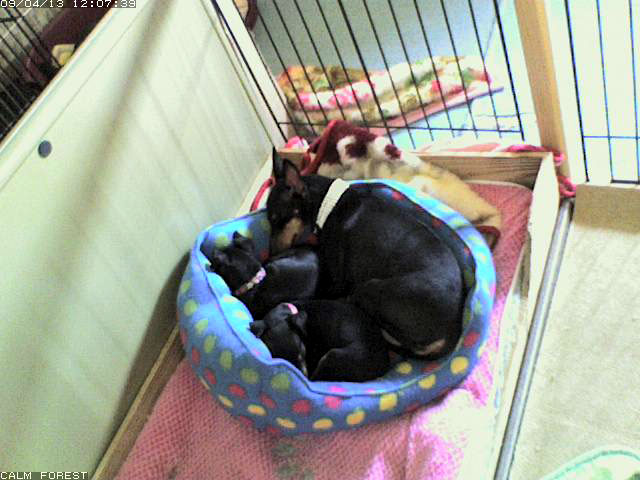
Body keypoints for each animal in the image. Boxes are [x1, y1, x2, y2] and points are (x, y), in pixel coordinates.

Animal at [266, 153, 465, 358]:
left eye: (276, 219)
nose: (270, 254)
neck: (327, 204)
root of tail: (451, 332)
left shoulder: (336, 281)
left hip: (370, 288)